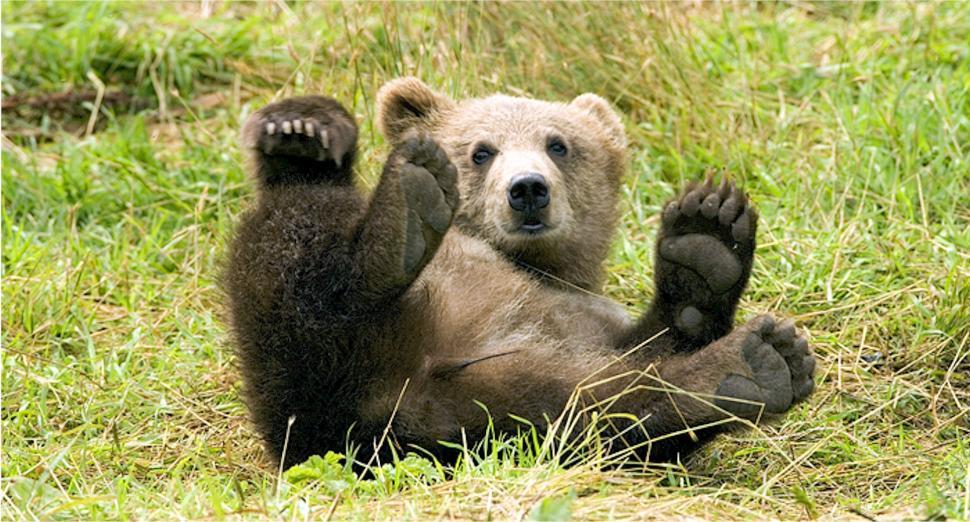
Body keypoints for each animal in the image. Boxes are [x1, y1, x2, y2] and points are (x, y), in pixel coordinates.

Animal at [223, 78, 816, 470]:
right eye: (481, 150)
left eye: (559, 144)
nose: (528, 188)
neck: (531, 264)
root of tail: (389, 399)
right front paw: (301, 127)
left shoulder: (580, 318)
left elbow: (649, 351)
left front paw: (706, 240)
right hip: (307, 377)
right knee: (295, 247)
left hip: (485, 409)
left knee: (597, 410)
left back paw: (751, 363)